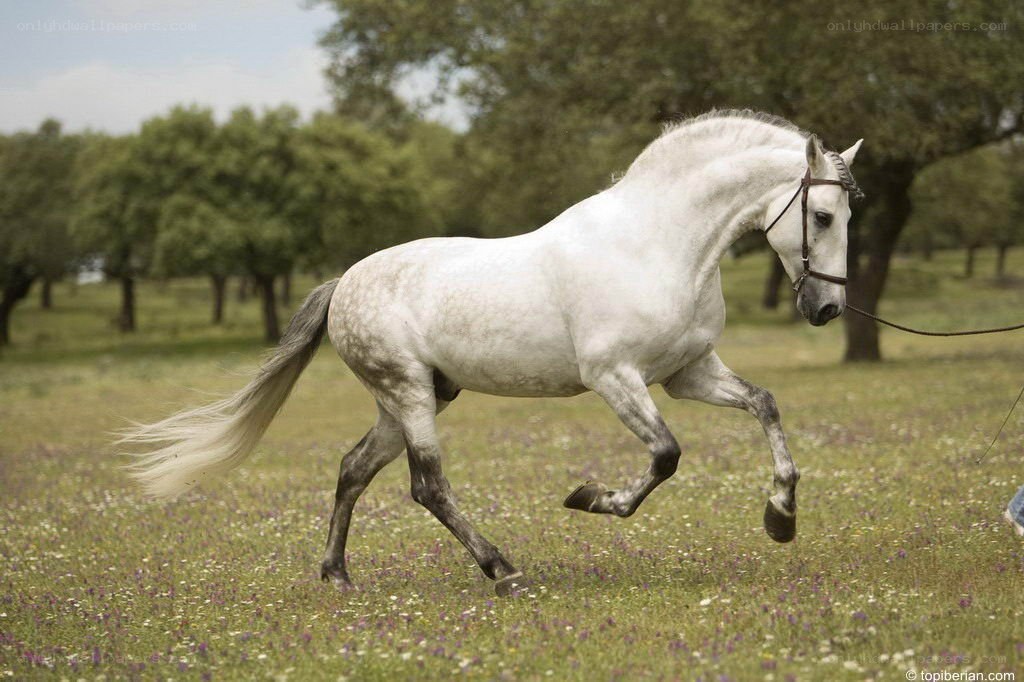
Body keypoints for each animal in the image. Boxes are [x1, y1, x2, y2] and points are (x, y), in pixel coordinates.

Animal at [124, 110, 863, 596]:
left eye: (849, 216)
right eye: (822, 216)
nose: (826, 310)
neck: (656, 245)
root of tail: (344, 283)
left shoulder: (687, 374)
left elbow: (765, 405)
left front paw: (780, 518)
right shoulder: (615, 378)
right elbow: (665, 456)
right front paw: (589, 499)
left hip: (414, 398)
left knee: (353, 469)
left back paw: (338, 575)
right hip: (409, 395)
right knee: (427, 485)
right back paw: (502, 570)